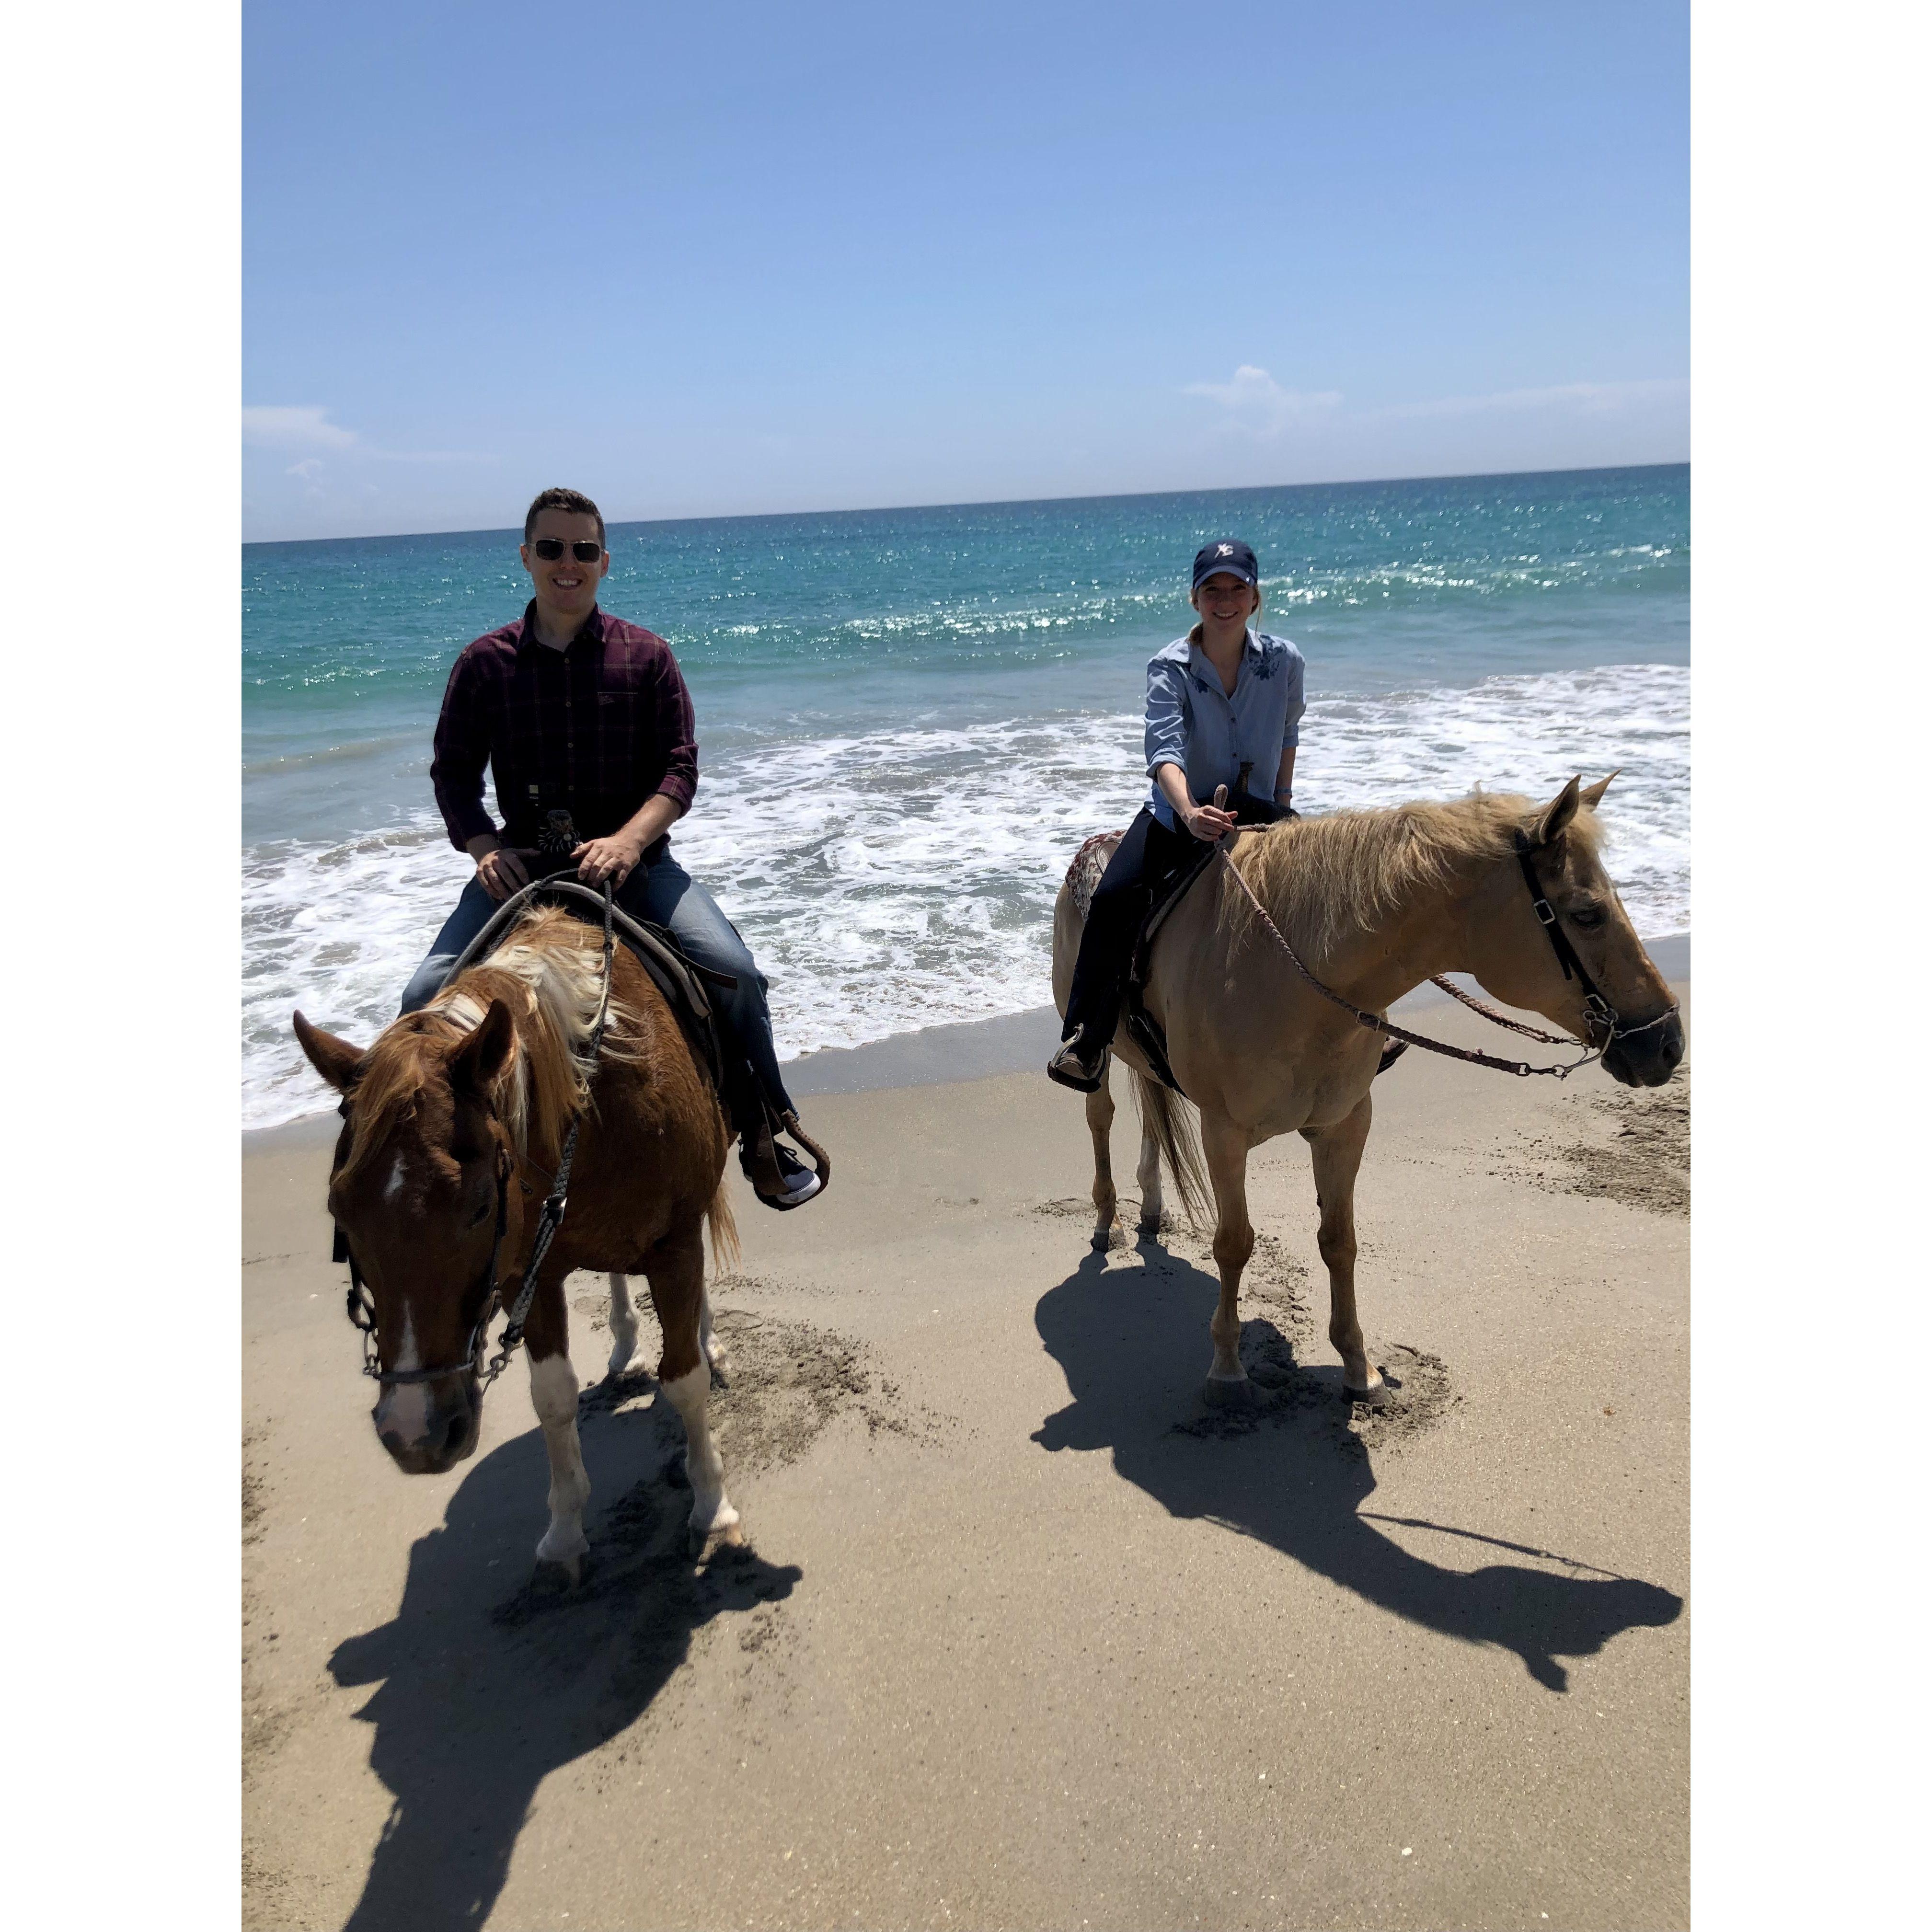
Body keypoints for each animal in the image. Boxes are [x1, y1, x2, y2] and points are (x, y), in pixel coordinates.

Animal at [291, 904, 738, 1568]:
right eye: (340, 1211)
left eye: (480, 1208)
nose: (415, 1434)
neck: (594, 1097)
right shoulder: (530, 1270)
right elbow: (552, 1397)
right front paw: (564, 1535)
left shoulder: (673, 1246)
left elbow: (685, 1381)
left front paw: (712, 1511)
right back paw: (624, 1346)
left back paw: (707, 1340)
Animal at [1058, 776, 1677, 1414]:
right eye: (1587, 914)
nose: (1667, 1043)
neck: (1287, 974)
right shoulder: (1224, 1131)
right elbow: (1234, 1244)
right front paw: (1228, 1372)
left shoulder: (1346, 1125)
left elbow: (1340, 1242)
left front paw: (1361, 1369)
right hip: (1093, 1046)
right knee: (1101, 1114)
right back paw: (1107, 1218)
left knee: (1153, 1106)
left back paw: (1152, 1206)